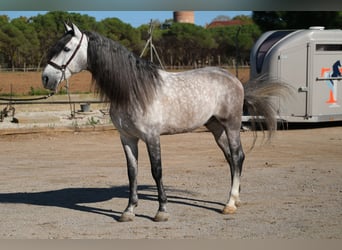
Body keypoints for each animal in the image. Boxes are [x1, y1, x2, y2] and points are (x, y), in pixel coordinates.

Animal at [42, 23, 288, 222]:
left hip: (232, 125)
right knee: (231, 158)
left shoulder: (152, 137)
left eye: (66, 49)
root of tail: (233, 79)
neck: (133, 90)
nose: (46, 78)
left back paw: (229, 204)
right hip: (216, 127)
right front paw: (129, 211)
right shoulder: (127, 138)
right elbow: (132, 172)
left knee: (237, 156)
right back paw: (235, 199)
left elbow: (156, 170)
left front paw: (161, 211)